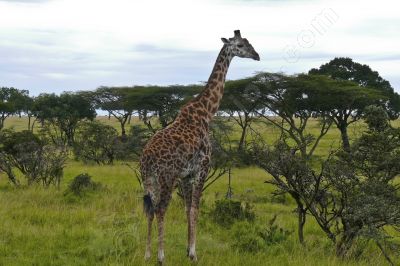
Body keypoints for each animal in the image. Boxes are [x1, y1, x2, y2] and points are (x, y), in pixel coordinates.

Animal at [140, 29, 260, 264]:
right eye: (240, 45)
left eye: (249, 42)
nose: (257, 55)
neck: (207, 112)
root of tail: (146, 159)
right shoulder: (202, 168)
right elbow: (195, 209)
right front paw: (194, 253)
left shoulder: (186, 175)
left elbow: (188, 209)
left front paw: (188, 249)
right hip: (166, 178)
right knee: (160, 210)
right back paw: (160, 256)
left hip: (149, 180)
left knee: (150, 210)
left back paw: (148, 254)